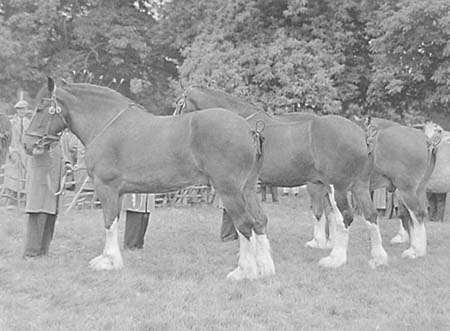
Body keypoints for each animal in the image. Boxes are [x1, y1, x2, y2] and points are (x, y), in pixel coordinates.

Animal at [22, 79, 276, 282]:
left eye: (41, 109)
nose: (27, 144)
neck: (106, 124)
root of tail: (249, 129)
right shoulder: (118, 192)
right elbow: (114, 221)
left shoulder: (106, 188)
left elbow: (109, 222)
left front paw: (109, 261)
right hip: (248, 189)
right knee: (259, 221)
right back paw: (265, 269)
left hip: (229, 190)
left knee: (244, 223)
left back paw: (244, 272)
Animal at [178, 85, 388, 270]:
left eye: (180, 104)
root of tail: (363, 135)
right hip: (358, 186)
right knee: (369, 215)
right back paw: (377, 258)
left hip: (338, 187)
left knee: (343, 217)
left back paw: (335, 258)